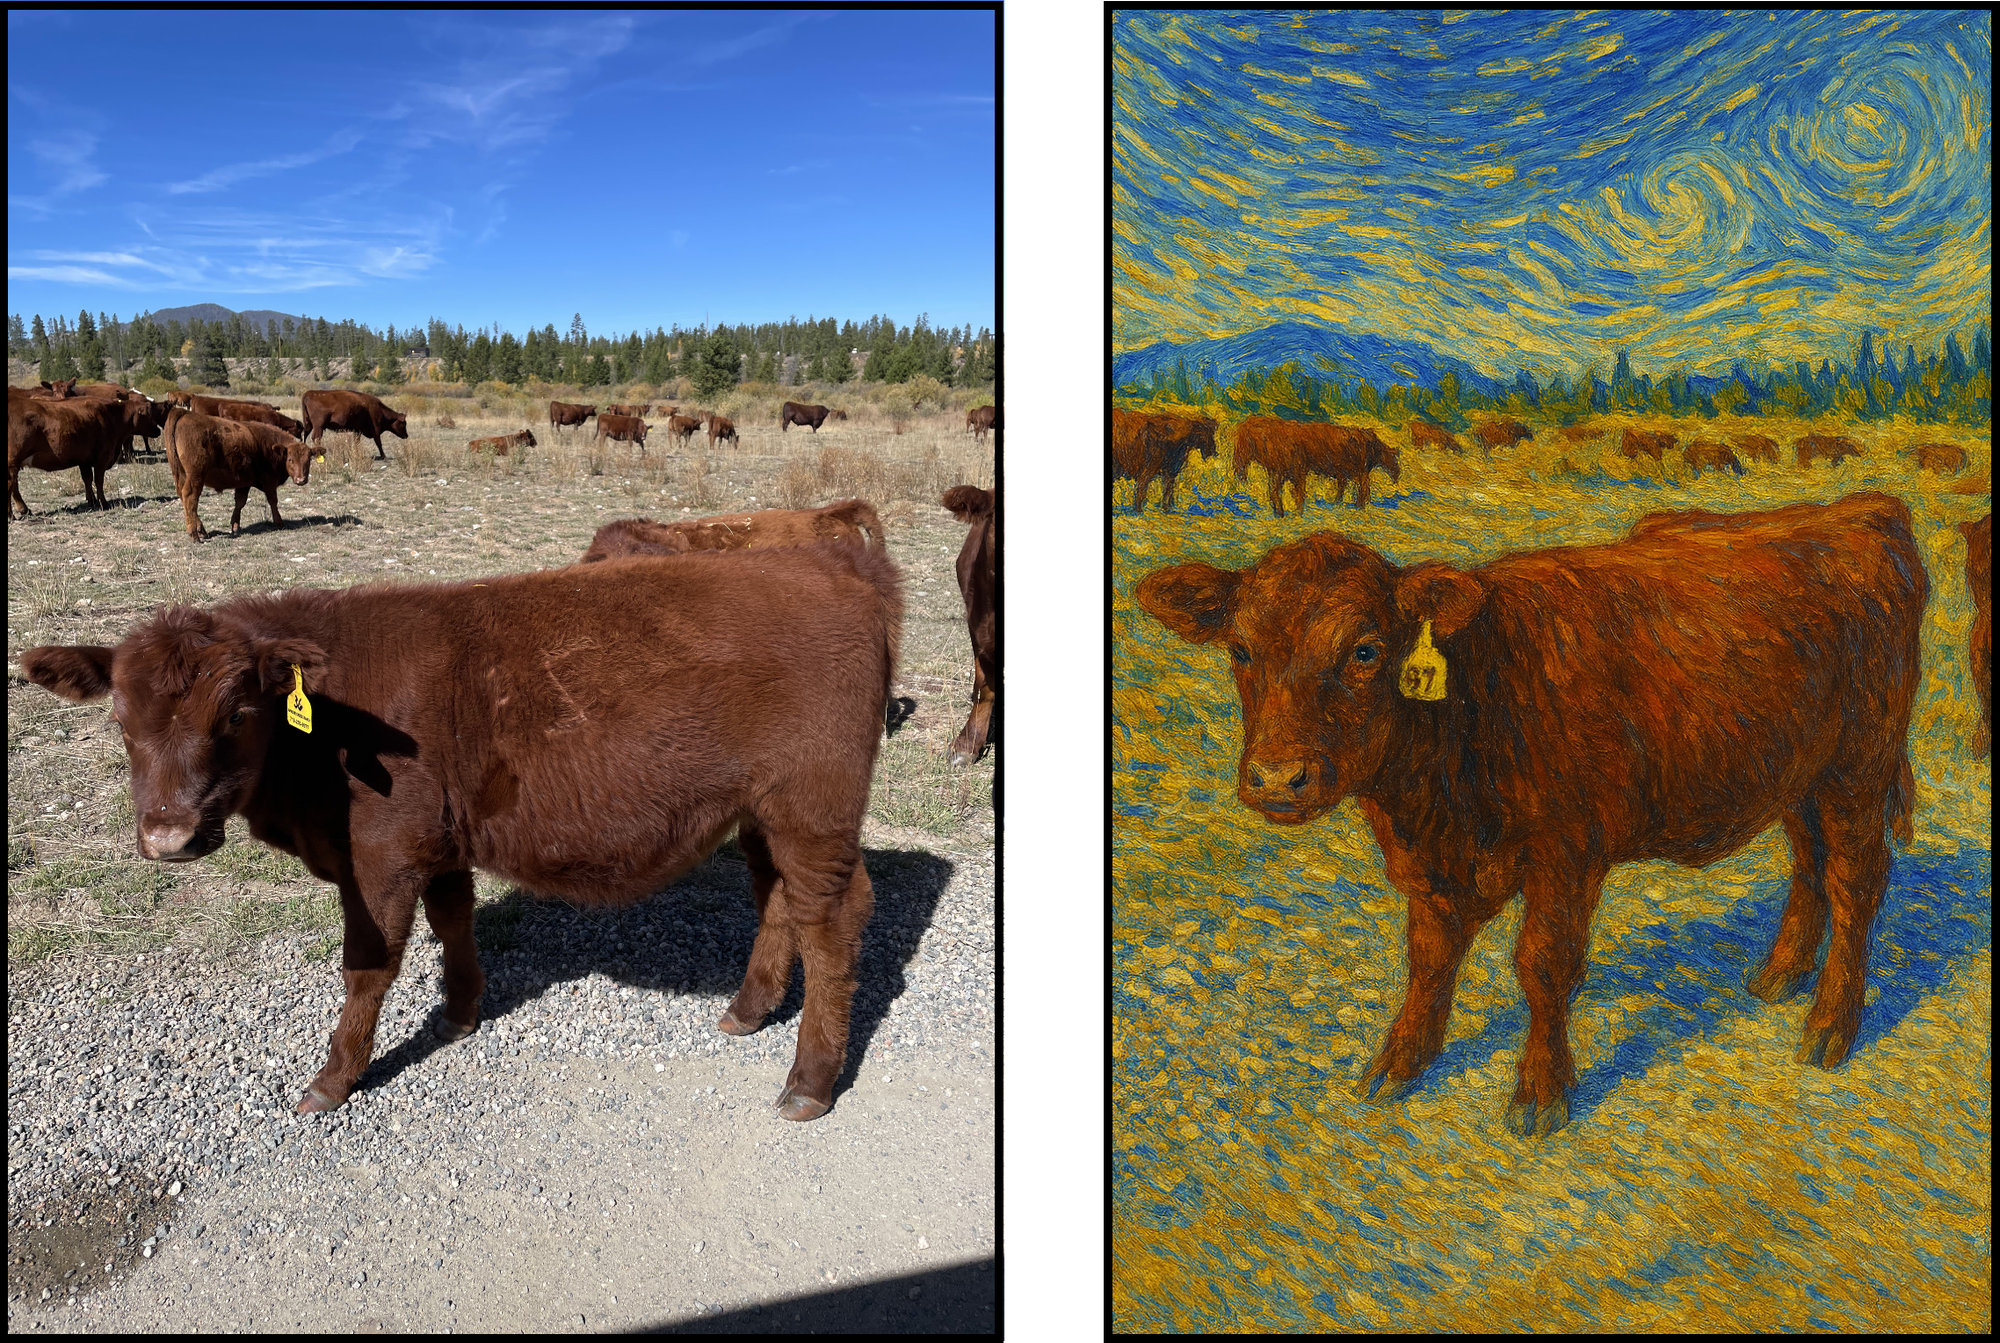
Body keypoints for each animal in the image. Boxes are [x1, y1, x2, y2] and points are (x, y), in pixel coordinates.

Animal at [8, 388, 126, 517]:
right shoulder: (102, 456)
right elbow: (98, 480)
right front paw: (103, 503)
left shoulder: (84, 459)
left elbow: (87, 479)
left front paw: (92, 501)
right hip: (13, 461)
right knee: (11, 485)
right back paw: (12, 514)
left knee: (14, 486)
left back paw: (24, 510)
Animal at [19, 540, 904, 1122]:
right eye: (120, 720)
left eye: (235, 714)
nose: (167, 836)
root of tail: (831, 563)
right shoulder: (436, 840)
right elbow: (453, 919)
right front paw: (459, 1012)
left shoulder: (378, 856)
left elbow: (367, 967)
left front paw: (334, 1078)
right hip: (762, 812)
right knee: (779, 899)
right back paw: (749, 1008)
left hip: (813, 806)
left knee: (831, 919)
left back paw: (810, 1080)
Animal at [163, 406, 314, 541]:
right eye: (290, 459)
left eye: (309, 459)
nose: (301, 480)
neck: (271, 445)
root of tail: (184, 413)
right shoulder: (269, 480)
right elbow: (272, 501)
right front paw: (280, 522)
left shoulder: (244, 482)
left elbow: (240, 502)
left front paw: (235, 526)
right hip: (195, 476)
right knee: (190, 498)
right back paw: (194, 535)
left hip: (181, 475)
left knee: (183, 497)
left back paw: (202, 530)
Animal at [1133, 492, 1925, 1138]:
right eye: (1240, 648)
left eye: (1365, 649)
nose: (1276, 777)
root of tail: (1859, 510)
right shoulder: (1433, 868)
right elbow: (1428, 957)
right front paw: (1399, 1062)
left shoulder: (1567, 856)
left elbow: (1542, 964)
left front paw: (1540, 1093)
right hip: (1797, 774)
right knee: (1809, 861)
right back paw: (1779, 973)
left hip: (1858, 766)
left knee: (1857, 880)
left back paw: (1829, 1026)